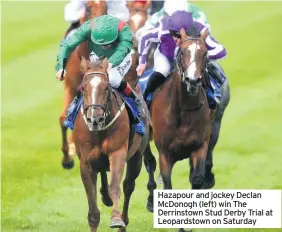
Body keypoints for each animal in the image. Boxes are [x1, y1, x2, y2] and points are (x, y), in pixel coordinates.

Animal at [70, 56, 150, 232]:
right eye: (83, 88)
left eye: (106, 87)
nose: (95, 119)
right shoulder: (85, 163)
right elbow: (93, 210)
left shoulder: (117, 152)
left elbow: (115, 186)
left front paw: (116, 219)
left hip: (137, 157)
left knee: (128, 185)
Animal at [144, 29, 215, 216]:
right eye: (182, 52)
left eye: (205, 54)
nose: (192, 81)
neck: (183, 108)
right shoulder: (165, 153)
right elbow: (167, 184)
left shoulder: (199, 145)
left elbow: (197, 178)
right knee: (149, 163)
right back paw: (151, 199)